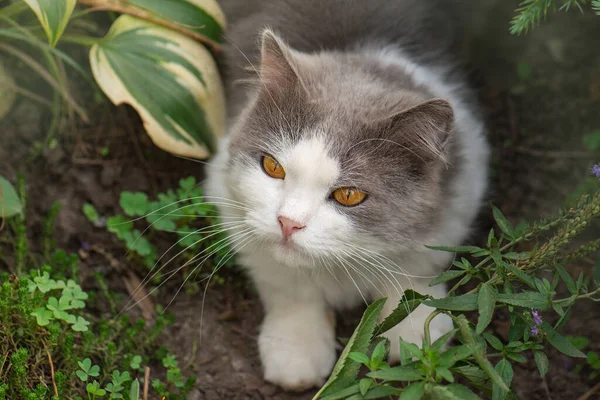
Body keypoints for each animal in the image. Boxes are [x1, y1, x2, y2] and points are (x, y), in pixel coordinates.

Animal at [205, 0, 488, 390]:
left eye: (349, 195)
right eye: (272, 167)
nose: (288, 222)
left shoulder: (460, 193)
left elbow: (414, 270)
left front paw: (416, 332)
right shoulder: (230, 199)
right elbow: (287, 283)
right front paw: (295, 349)